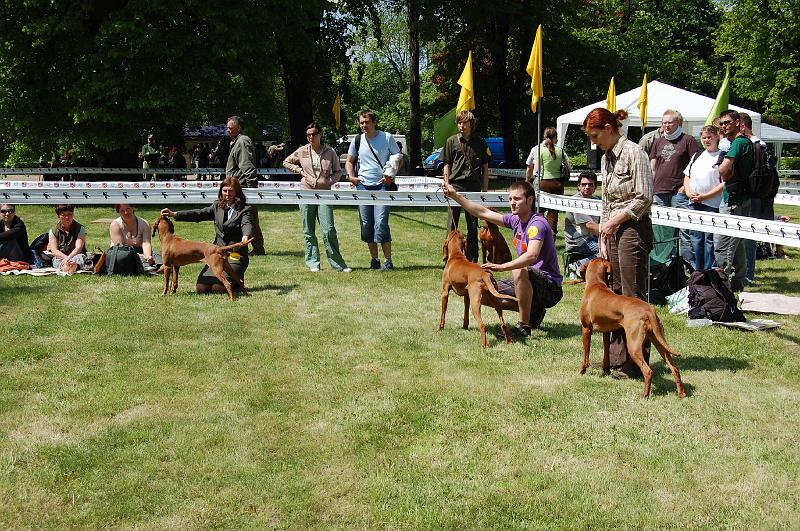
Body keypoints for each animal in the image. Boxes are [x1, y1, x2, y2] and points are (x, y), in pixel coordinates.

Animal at [580, 258, 684, 400]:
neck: (595, 284)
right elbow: (606, 355)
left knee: (648, 371)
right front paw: (605, 371)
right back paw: (681, 393)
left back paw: (644, 395)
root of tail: (649, 310)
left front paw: (582, 371)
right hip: (659, 340)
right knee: (675, 368)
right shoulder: (606, 332)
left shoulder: (586, 329)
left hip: (633, 347)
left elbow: (586, 355)